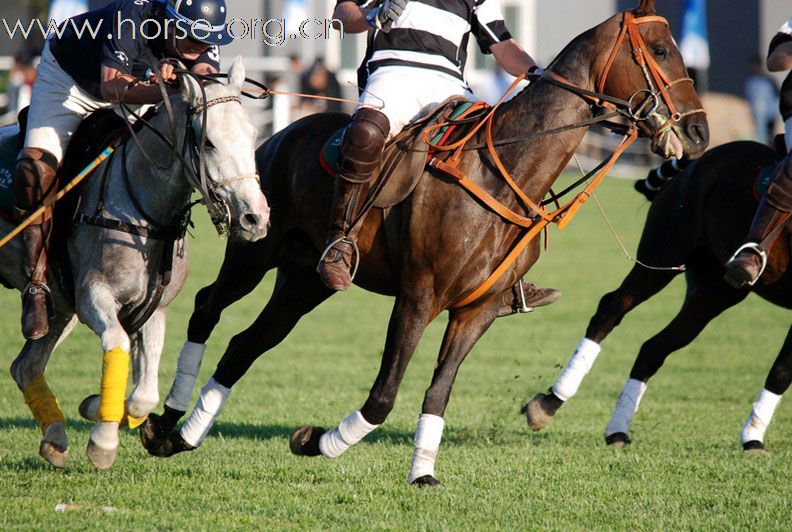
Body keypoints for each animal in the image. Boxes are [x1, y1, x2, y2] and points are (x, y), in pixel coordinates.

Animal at [0, 58, 270, 470]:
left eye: (253, 134)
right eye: (208, 142)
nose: (255, 219)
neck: (144, 213)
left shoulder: (154, 308)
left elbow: (145, 394)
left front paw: (95, 407)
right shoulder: (94, 296)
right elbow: (118, 343)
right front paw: (103, 441)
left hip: (59, 309)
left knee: (25, 365)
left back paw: (56, 439)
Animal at [142, 0, 712, 484]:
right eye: (660, 50)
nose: (701, 133)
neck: (504, 172)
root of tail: (277, 135)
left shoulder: (477, 309)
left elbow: (438, 393)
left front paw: (422, 473)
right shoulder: (419, 297)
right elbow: (382, 397)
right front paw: (315, 441)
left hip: (306, 281)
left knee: (247, 343)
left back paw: (184, 437)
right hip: (254, 248)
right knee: (206, 307)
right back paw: (161, 422)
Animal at [524, 139, 792, 450]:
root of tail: (698, 159)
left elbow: (782, 371)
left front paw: (753, 437)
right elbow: (782, 371)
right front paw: (752, 437)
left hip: (717, 290)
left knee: (654, 347)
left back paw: (617, 430)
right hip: (663, 254)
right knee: (610, 310)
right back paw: (551, 402)